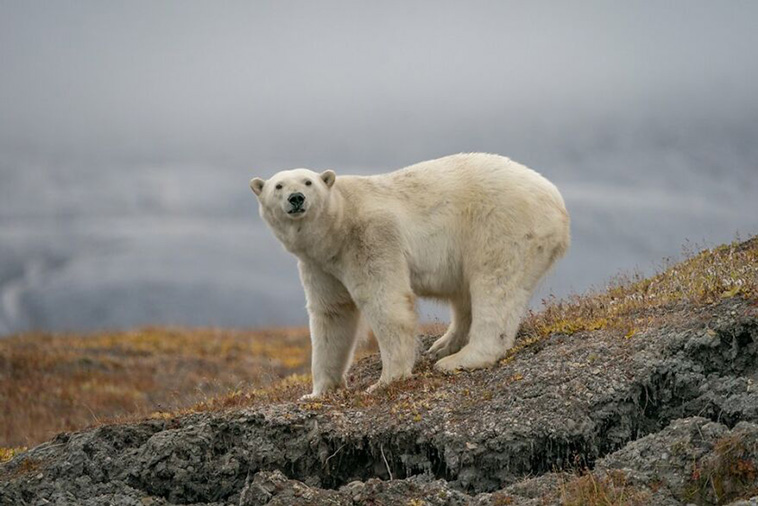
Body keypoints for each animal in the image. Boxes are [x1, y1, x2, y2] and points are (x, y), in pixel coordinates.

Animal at [251, 152, 568, 398]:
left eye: (308, 181)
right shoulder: (319, 264)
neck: (337, 226)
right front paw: (317, 391)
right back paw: (442, 346)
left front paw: (386, 380)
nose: (296, 198)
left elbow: (386, 303)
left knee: (495, 284)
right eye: (278, 185)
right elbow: (331, 314)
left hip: (503, 224)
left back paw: (460, 359)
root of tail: (556, 202)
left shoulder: (370, 237)